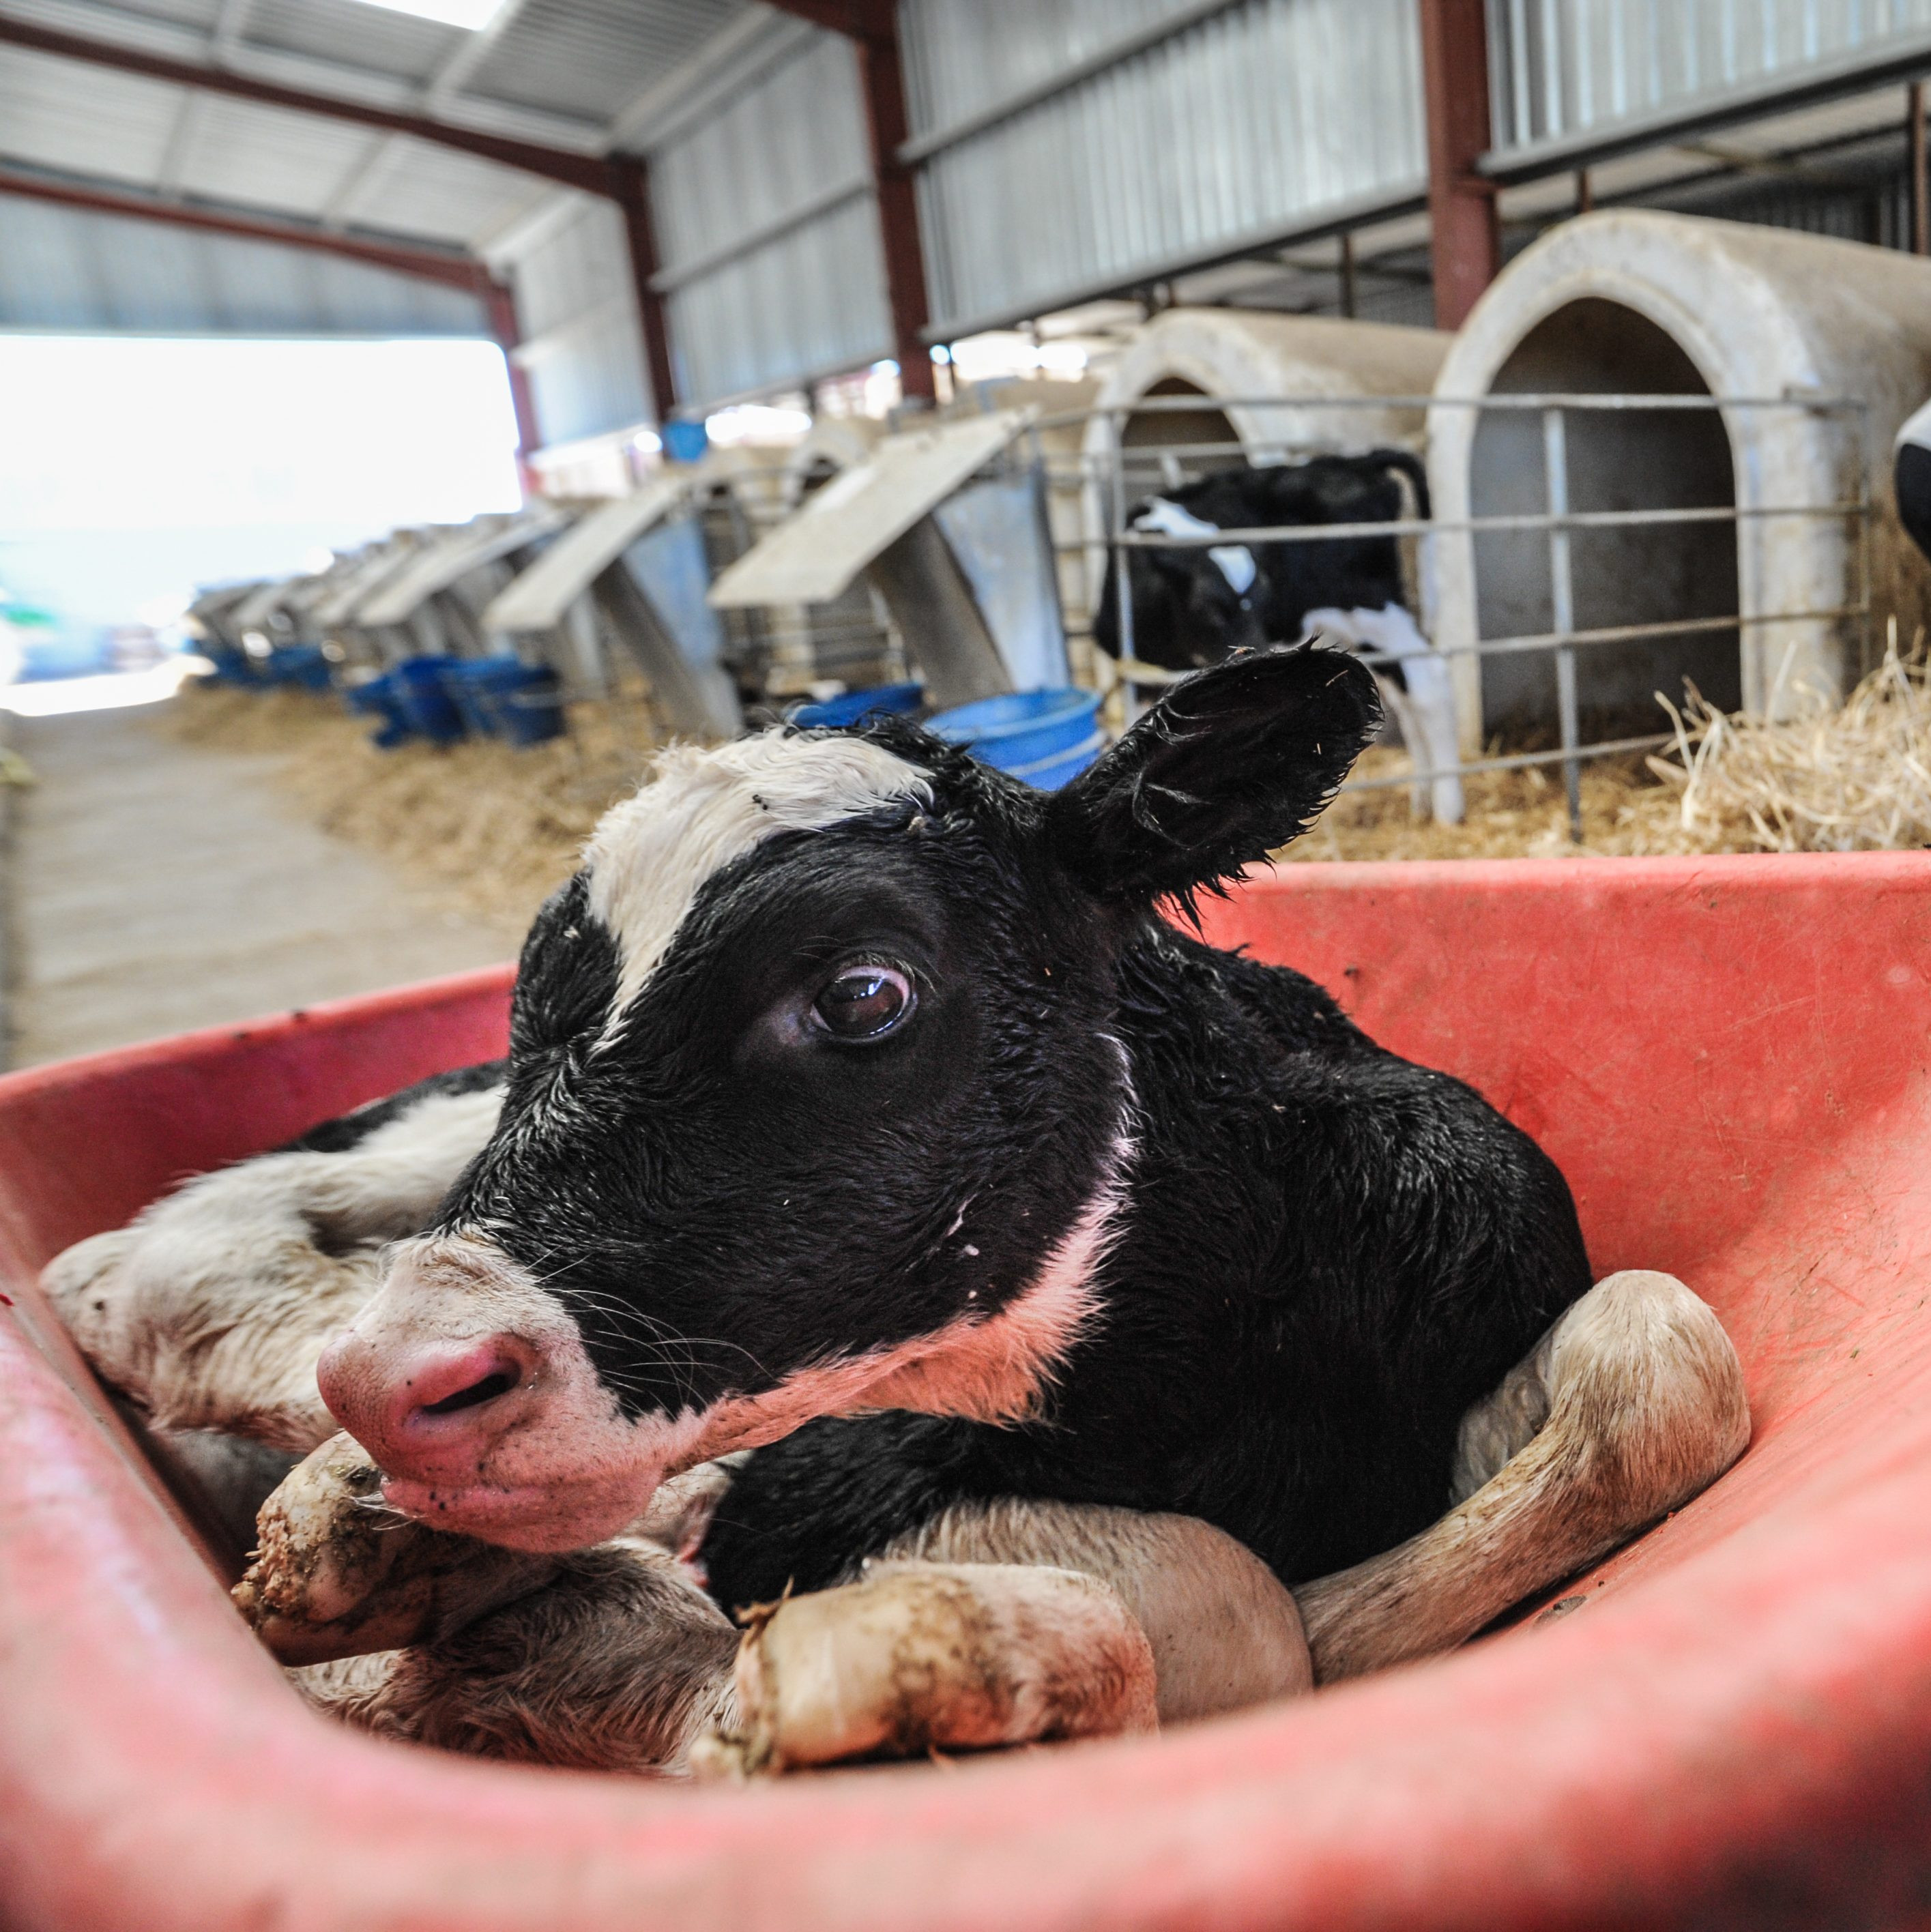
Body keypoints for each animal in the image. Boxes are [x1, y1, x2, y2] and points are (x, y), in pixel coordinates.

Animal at [48, 647, 1748, 1773]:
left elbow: (1661, 1359)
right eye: (535, 1003)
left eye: (862, 992)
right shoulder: (818, 1487)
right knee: (142, 1267)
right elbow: (1223, 1606)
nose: (408, 1384)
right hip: (408, 1159)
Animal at [1093, 450, 1464, 823]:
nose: (1256, 654)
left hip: (1371, 609)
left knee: (1428, 683)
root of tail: (1355, 461)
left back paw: (1448, 809)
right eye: (1210, 608)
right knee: (1403, 695)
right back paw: (1422, 800)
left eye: (1263, 598)